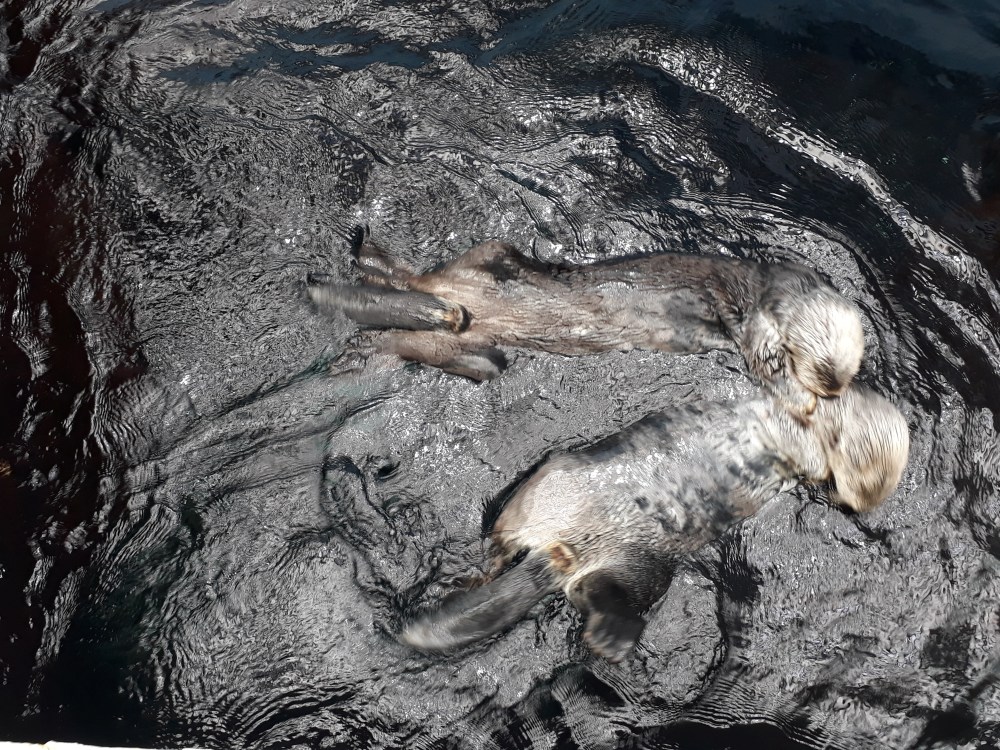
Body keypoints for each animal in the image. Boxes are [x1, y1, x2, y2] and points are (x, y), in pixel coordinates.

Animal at [308, 231, 865, 415]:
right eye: (824, 349)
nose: (833, 384)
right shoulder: (710, 292)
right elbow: (719, 324)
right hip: (486, 257)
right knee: (417, 281)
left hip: (473, 346)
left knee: (447, 346)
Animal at [399, 384, 909, 662]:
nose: (855, 495)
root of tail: (566, 548)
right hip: (632, 556)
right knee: (606, 594)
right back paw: (611, 637)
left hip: (547, 497)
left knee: (507, 548)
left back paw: (476, 576)